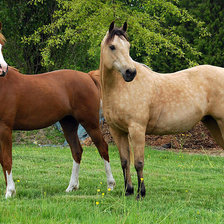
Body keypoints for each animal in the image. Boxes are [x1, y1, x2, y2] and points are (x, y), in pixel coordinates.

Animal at [0, 30, 114, 200]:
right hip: (68, 124)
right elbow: (2, 160)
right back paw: (71, 187)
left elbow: (7, 160)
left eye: (1, 46)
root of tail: (88, 77)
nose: (3, 69)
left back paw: (110, 185)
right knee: (77, 151)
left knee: (103, 148)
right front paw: (8, 190)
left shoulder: (5, 128)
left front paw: (10, 192)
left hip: (90, 123)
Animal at [100, 21, 224, 200]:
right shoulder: (117, 131)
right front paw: (128, 191)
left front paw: (140, 194)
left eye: (128, 46)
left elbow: (138, 162)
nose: (131, 72)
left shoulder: (137, 129)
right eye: (112, 47)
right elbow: (124, 162)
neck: (121, 88)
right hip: (213, 124)